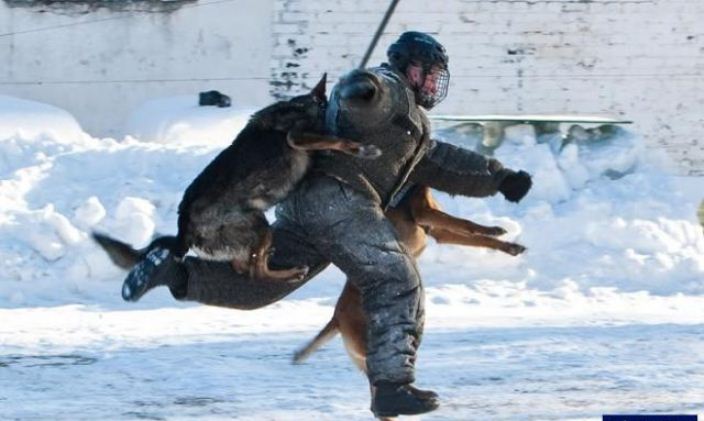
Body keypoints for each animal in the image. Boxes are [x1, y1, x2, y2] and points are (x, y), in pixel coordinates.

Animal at [292, 185, 525, 409]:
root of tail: (336, 318)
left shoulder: (439, 231)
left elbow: (479, 238)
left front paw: (509, 245)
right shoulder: (425, 212)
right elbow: (467, 223)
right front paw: (495, 230)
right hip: (374, 347)